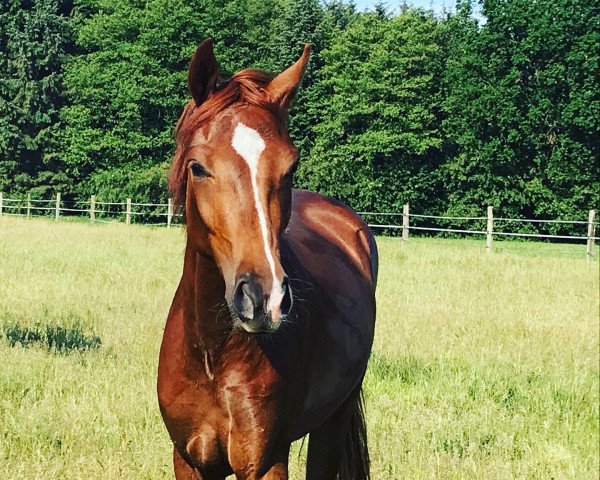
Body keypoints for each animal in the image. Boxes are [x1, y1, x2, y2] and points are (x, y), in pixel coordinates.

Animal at [157, 40, 378, 480]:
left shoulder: (265, 460)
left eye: (290, 167)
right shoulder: (187, 459)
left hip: (333, 421)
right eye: (198, 168)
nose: (263, 299)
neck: (211, 354)